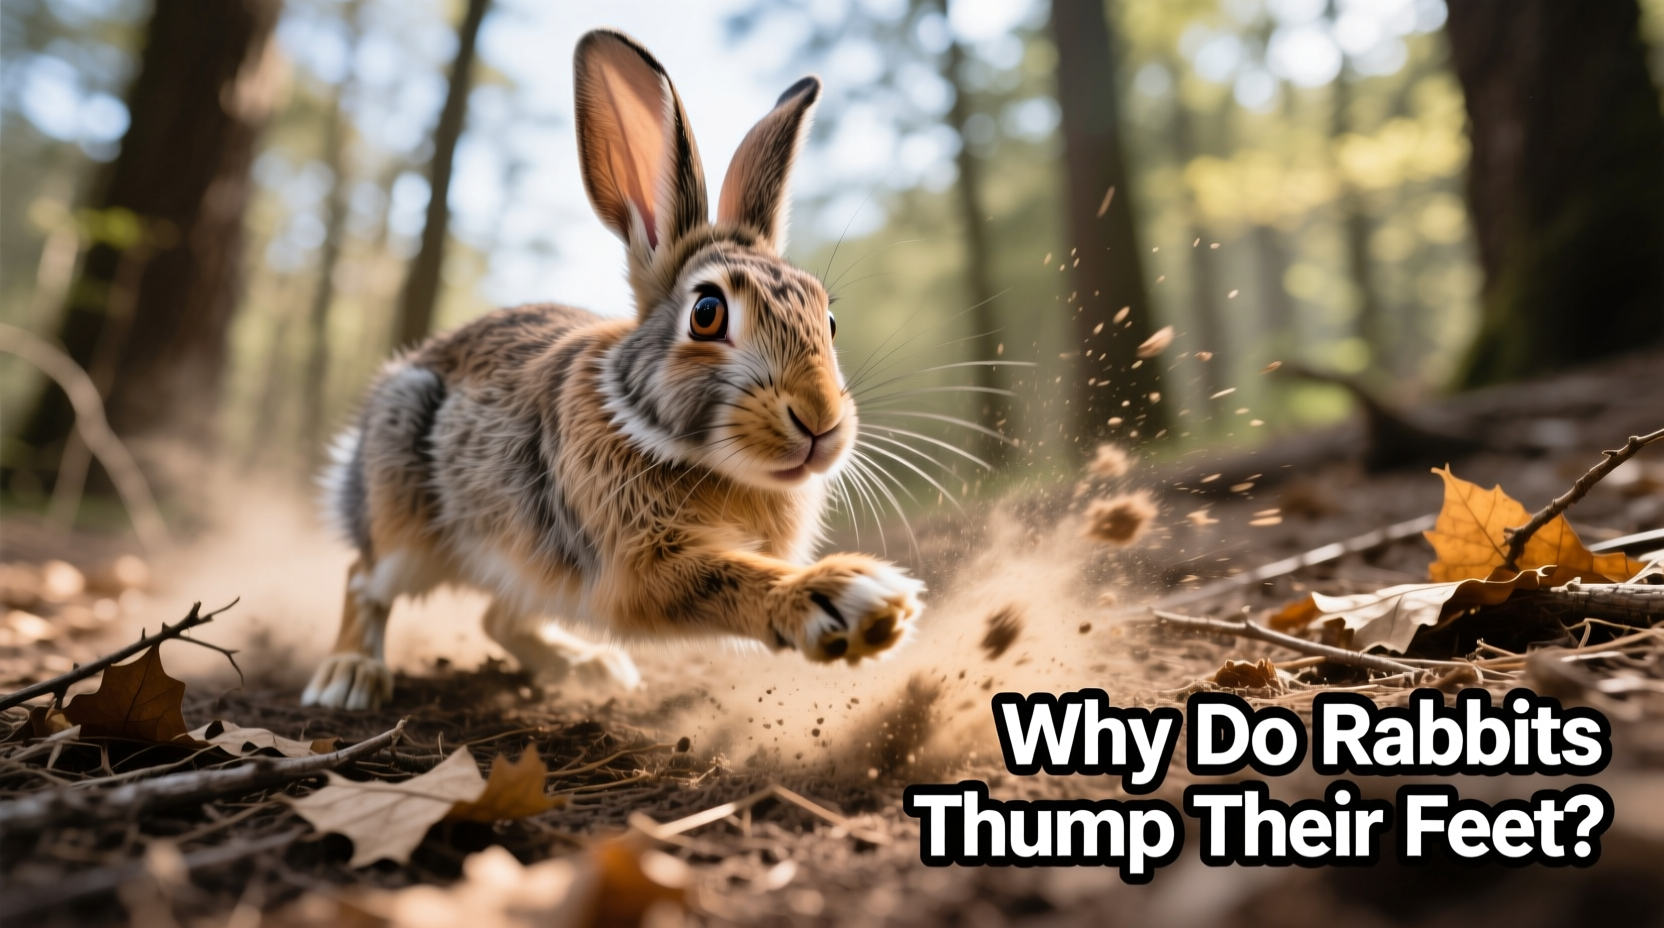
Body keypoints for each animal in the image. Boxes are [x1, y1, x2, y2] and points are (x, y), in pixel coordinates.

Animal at [301, 29, 925, 710]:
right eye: (707, 313)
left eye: (828, 320)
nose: (820, 421)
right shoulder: (641, 564)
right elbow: (727, 576)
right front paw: (849, 600)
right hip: (404, 520)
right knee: (364, 579)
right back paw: (349, 676)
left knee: (498, 616)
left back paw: (590, 668)